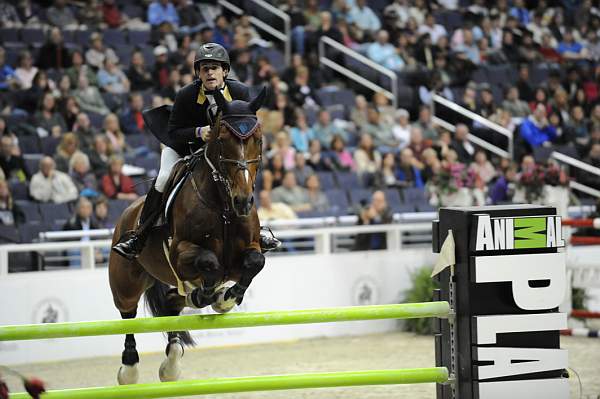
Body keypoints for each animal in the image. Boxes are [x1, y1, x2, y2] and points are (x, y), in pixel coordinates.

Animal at [108, 88, 268, 384]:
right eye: (222, 140)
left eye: (258, 139)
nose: (243, 202)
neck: (223, 207)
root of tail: (129, 211)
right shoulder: (180, 252)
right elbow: (209, 262)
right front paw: (213, 296)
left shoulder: (245, 254)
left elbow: (255, 262)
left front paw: (226, 299)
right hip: (126, 282)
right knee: (128, 313)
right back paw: (129, 369)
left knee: (171, 305)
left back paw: (170, 365)